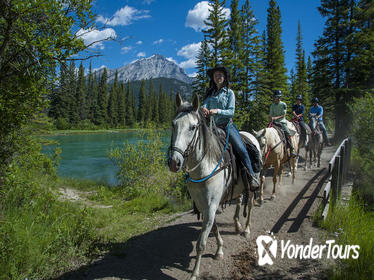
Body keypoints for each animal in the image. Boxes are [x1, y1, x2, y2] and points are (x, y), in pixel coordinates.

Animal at [168, 93, 262, 280]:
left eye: (192, 127)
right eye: (173, 124)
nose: (174, 162)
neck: (205, 167)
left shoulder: (211, 205)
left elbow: (201, 243)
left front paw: (194, 273)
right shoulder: (205, 205)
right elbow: (214, 228)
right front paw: (219, 250)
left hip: (253, 183)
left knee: (249, 205)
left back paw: (246, 229)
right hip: (239, 187)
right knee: (239, 200)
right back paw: (237, 225)